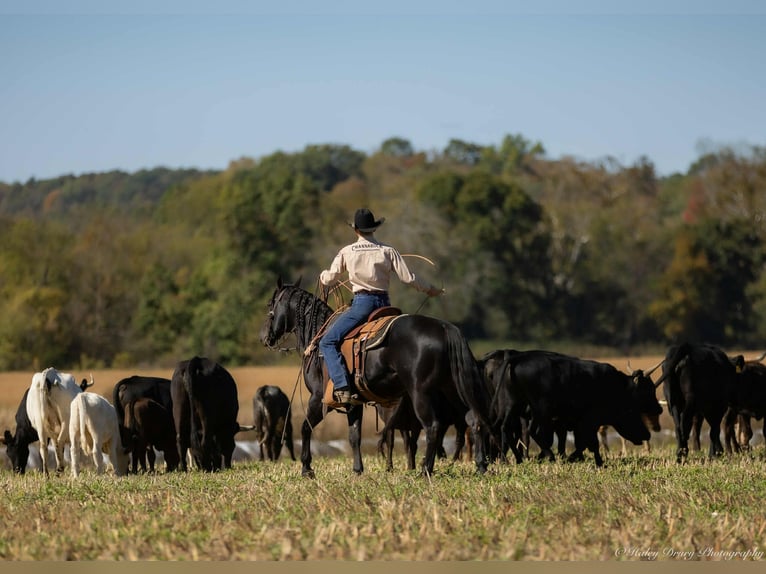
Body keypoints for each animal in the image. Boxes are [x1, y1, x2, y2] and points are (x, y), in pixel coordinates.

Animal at [259, 277, 496, 478]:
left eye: (271, 305)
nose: (264, 337)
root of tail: (444, 328)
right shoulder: (353, 402)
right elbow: (354, 436)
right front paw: (357, 470)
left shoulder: (318, 398)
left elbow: (305, 427)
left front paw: (307, 468)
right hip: (452, 389)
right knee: (473, 419)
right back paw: (480, 466)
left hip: (421, 393)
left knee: (433, 427)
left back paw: (425, 471)